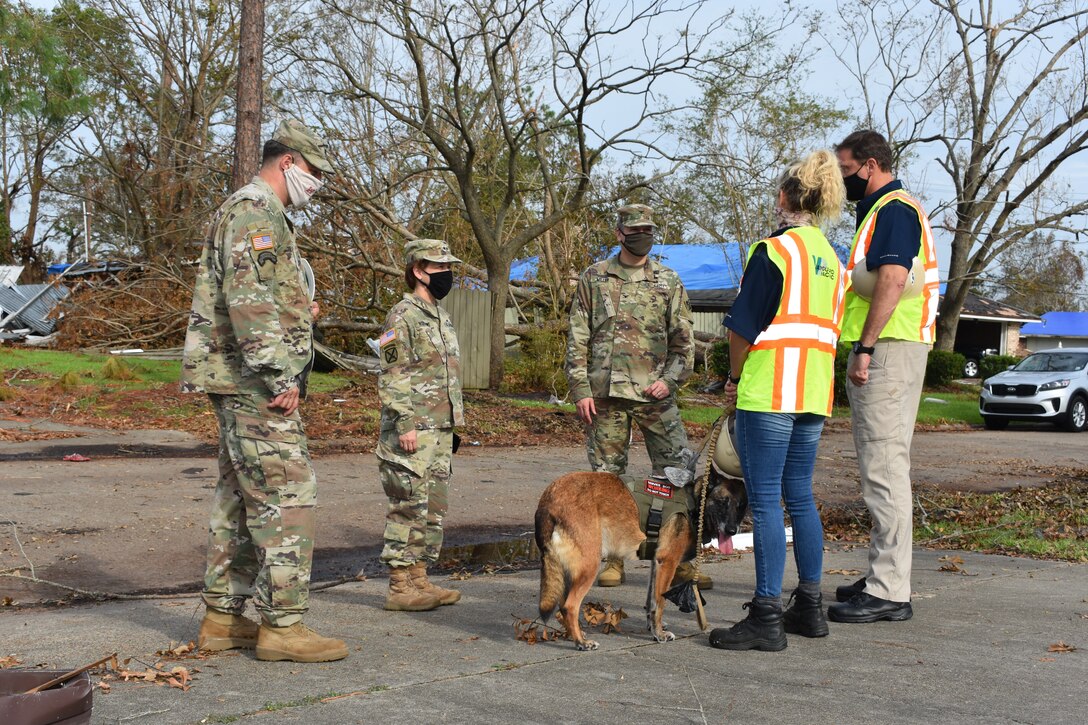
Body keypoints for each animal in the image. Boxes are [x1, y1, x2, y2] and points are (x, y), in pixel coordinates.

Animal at [530, 465, 744, 644]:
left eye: (740, 506)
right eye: (722, 502)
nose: (732, 530)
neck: (695, 501)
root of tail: (549, 495)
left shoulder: (656, 565)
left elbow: (651, 603)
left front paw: (653, 629)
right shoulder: (668, 563)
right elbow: (661, 603)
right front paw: (659, 634)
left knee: (562, 605)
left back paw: (574, 635)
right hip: (589, 565)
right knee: (570, 606)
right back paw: (581, 643)